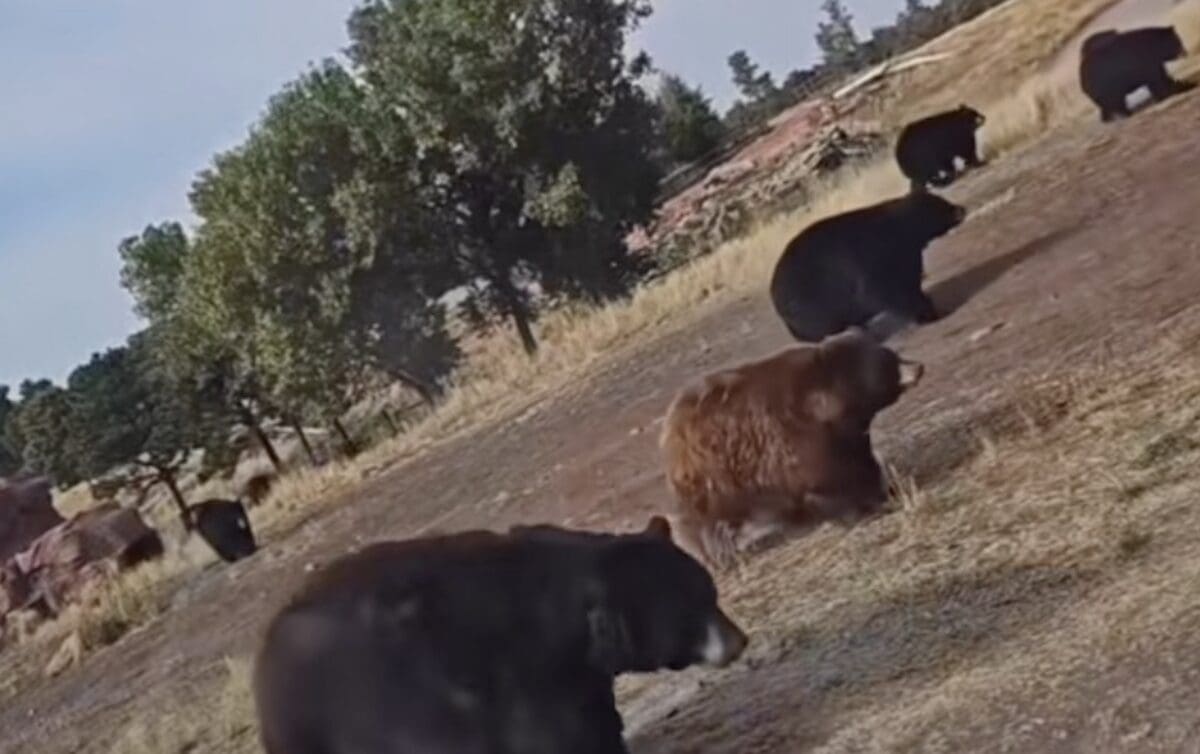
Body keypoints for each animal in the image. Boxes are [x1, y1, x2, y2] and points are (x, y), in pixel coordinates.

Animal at [659, 328, 923, 570]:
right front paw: (863, 508)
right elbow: (833, 482)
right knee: (706, 521)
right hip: (713, 478)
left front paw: (885, 490)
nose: (919, 367)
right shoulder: (799, 439)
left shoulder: (845, 436)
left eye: (892, 355)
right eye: (888, 362)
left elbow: (858, 463)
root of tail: (670, 427)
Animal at [769, 189, 966, 344]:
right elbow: (878, 291)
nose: (961, 209)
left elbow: (909, 284)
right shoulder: (876, 256)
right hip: (812, 306)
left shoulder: (906, 260)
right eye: (939, 204)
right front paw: (928, 315)